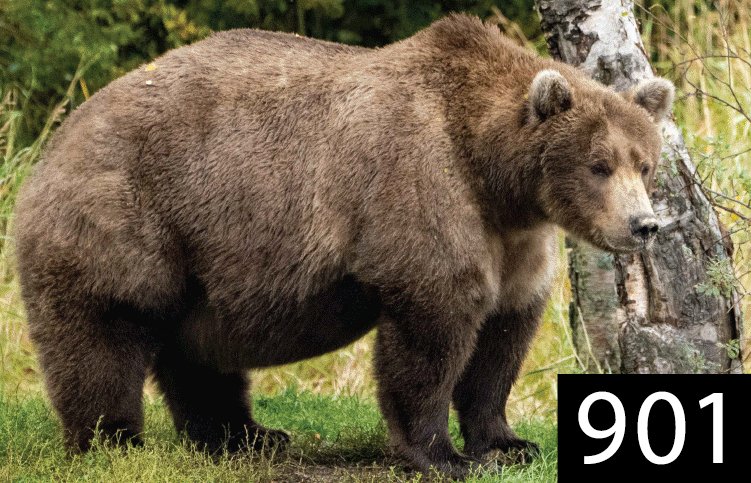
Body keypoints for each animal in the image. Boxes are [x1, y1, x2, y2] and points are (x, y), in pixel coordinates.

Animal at [15, 13, 673, 478]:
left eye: (644, 163)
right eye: (598, 165)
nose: (644, 225)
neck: (495, 177)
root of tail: (57, 139)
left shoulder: (517, 241)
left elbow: (502, 337)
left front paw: (509, 443)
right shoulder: (420, 188)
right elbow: (432, 329)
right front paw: (443, 455)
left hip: (204, 254)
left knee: (197, 348)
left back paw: (247, 436)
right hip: (126, 215)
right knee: (102, 332)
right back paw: (114, 442)